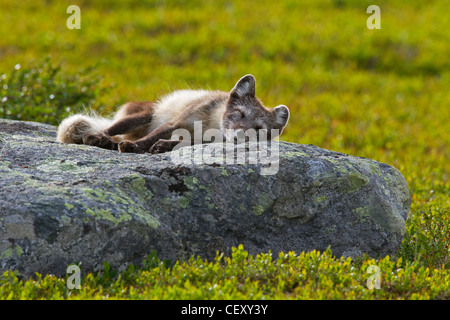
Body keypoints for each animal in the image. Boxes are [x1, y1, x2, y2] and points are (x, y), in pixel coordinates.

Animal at [56, 75, 290, 155]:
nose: (240, 136)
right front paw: (135, 147)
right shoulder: (178, 121)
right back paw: (100, 138)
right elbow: (152, 136)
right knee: (112, 129)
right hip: (143, 116)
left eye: (259, 130)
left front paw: (162, 146)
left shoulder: (203, 141)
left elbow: (184, 143)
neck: (209, 127)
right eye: (239, 114)